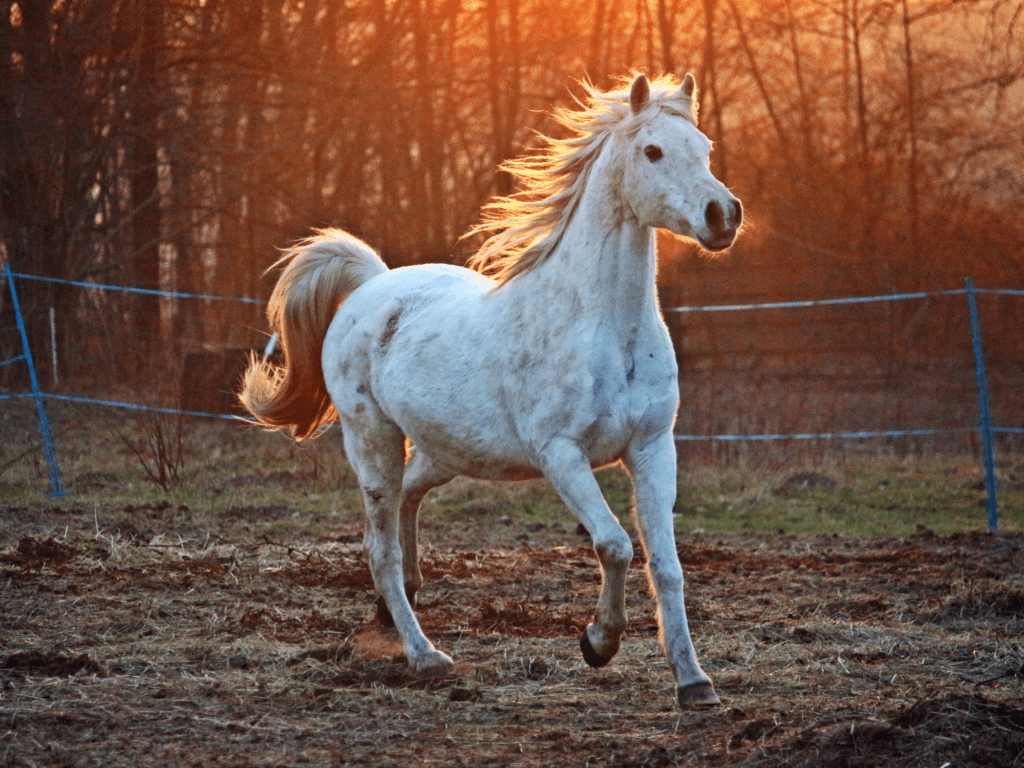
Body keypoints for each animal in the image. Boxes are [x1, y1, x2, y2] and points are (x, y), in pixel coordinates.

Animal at [244, 72, 749, 708]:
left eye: (704, 148)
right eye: (652, 151)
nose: (723, 214)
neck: (606, 328)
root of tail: (371, 285)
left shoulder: (653, 447)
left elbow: (666, 565)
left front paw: (693, 682)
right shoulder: (561, 455)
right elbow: (615, 545)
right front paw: (598, 642)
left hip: (446, 450)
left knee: (407, 503)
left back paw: (396, 606)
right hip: (373, 441)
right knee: (379, 548)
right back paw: (425, 655)